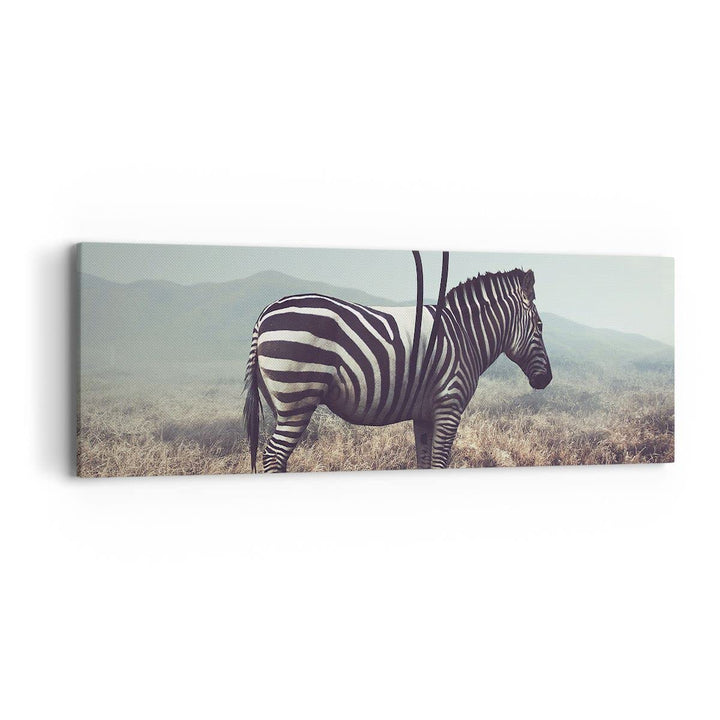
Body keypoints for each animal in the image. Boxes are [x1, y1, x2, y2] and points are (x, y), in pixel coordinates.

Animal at [243, 268, 552, 473]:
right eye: (539, 326)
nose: (546, 379)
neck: (464, 335)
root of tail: (265, 313)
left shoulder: (425, 413)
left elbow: (425, 463)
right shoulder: (449, 406)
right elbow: (439, 463)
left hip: (280, 403)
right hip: (297, 399)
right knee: (273, 456)